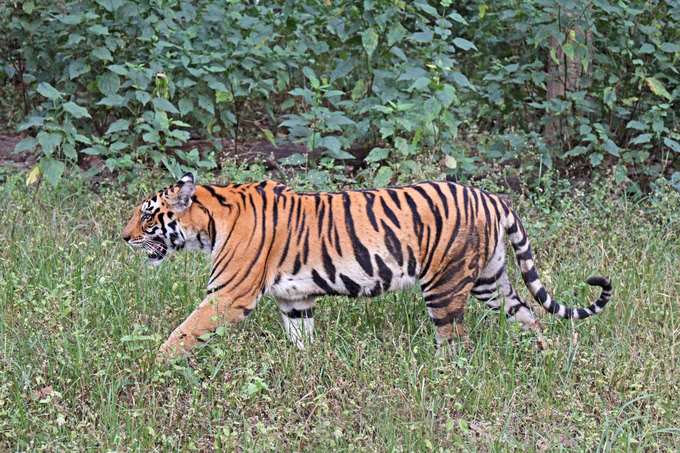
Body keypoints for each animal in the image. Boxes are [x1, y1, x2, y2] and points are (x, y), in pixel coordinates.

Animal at [122, 173, 611, 357]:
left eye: (147, 215)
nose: (123, 237)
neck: (209, 222)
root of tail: (491, 195)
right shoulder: (294, 300)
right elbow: (302, 340)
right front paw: (305, 371)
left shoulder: (227, 296)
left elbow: (183, 333)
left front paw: (151, 366)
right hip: (490, 280)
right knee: (527, 316)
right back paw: (544, 358)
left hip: (445, 286)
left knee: (456, 342)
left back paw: (443, 377)